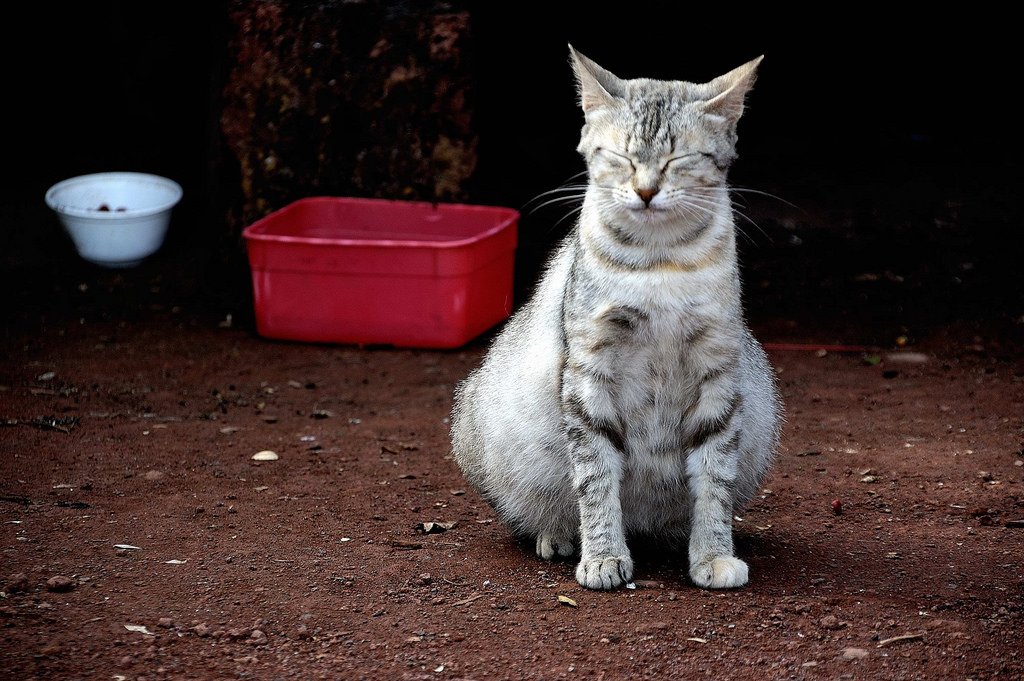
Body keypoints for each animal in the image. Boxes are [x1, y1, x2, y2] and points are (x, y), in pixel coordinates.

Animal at [450, 47, 782, 589]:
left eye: (678, 160)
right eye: (622, 157)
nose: (645, 191)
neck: (660, 260)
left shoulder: (717, 371)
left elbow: (714, 478)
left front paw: (712, 554)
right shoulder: (589, 371)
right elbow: (596, 476)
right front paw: (603, 556)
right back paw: (558, 535)